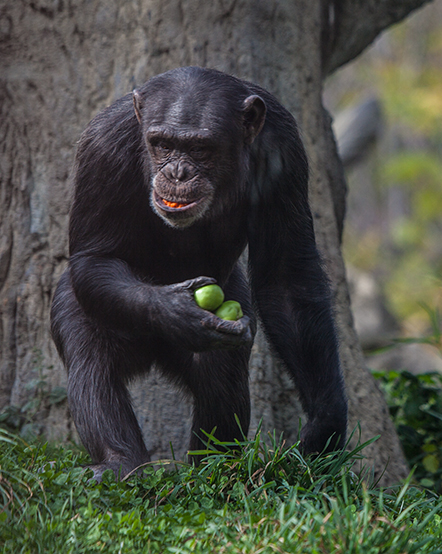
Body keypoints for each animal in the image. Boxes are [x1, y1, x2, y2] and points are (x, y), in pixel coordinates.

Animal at [51, 66, 348, 478]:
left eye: (200, 149)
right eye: (162, 144)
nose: (177, 171)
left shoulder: (285, 147)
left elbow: (286, 275)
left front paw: (325, 424)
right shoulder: (102, 147)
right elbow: (94, 257)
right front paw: (173, 310)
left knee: (219, 369)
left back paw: (212, 467)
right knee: (92, 360)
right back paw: (120, 462)